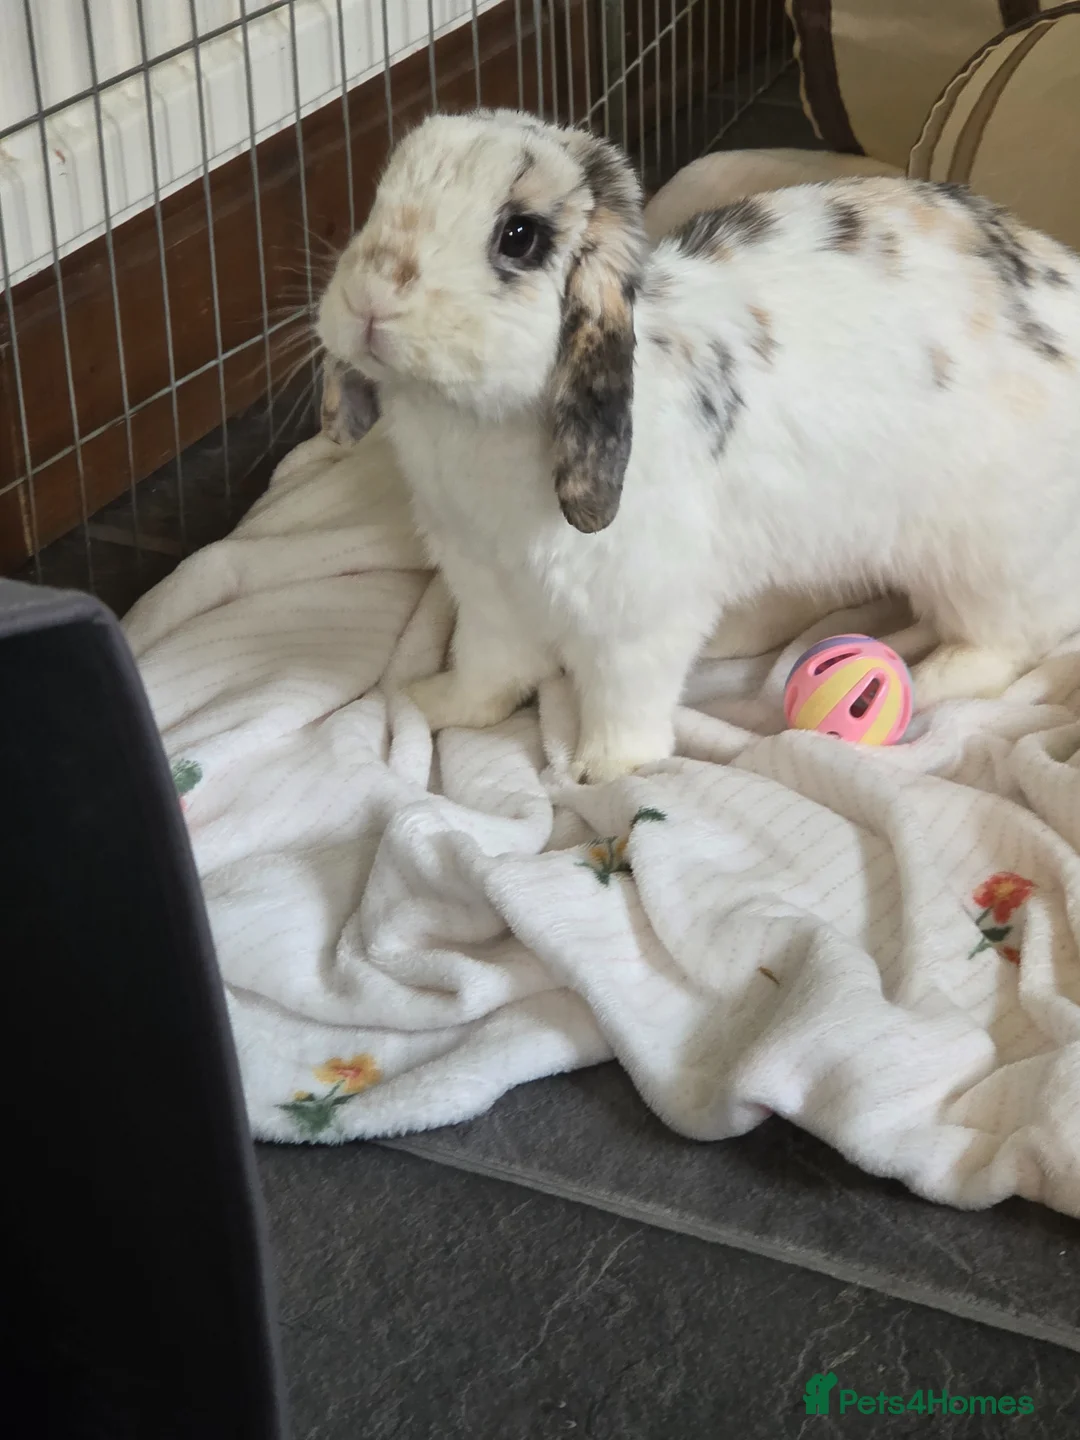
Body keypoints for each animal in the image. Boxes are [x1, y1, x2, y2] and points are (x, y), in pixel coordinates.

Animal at [317, 108, 1080, 783]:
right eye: (379, 197)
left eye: (519, 235)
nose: (368, 300)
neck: (470, 424)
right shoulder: (484, 584)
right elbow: (488, 666)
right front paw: (436, 704)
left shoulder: (635, 616)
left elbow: (624, 696)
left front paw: (609, 770)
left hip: (987, 560)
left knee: (1011, 642)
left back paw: (937, 674)